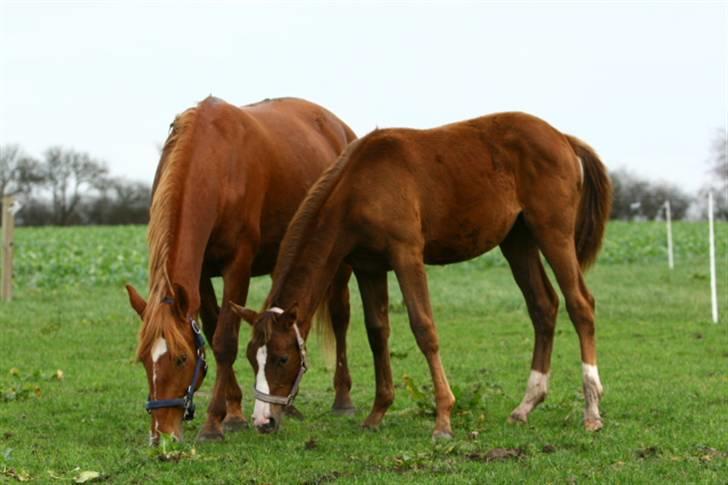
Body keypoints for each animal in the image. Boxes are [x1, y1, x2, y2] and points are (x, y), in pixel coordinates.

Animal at [126, 95, 358, 442]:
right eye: (144, 360)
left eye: (181, 359)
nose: (161, 435)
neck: (215, 161)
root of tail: (339, 127)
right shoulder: (201, 274)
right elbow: (211, 332)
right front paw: (233, 411)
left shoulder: (238, 264)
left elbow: (225, 340)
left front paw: (212, 424)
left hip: (338, 261)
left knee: (341, 318)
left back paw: (342, 398)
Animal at [233, 111, 608, 436]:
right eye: (252, 357)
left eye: (282, 358)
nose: (263, 421)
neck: (361, 184)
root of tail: (563, 138)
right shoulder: (369, 268)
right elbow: (377, 332)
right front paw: (377, 413)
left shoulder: (407, 255)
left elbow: (424, 328)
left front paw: (443, 419)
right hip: (518, 241)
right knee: (543, 306)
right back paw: (525, 406)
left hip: (552, 232)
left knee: (580, 304)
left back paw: (591, 410)